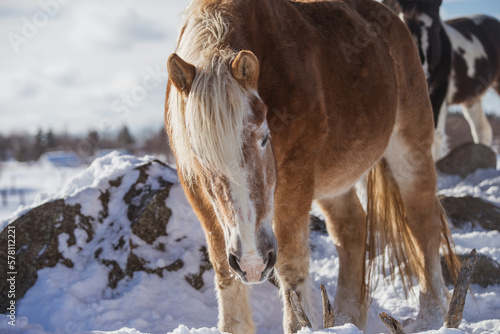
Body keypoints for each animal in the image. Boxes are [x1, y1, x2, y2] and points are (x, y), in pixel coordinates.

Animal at [164, 0, 458, 332]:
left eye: (264, 139)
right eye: (198, 153)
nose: (252, 262)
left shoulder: (296, 173)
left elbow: (290, 262)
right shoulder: (196, 189)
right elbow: (223, 268)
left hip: (410, 146)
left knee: (422, 221)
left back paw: (430, 316)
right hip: (333, 182)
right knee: (351, 227)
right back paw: (344, 319)